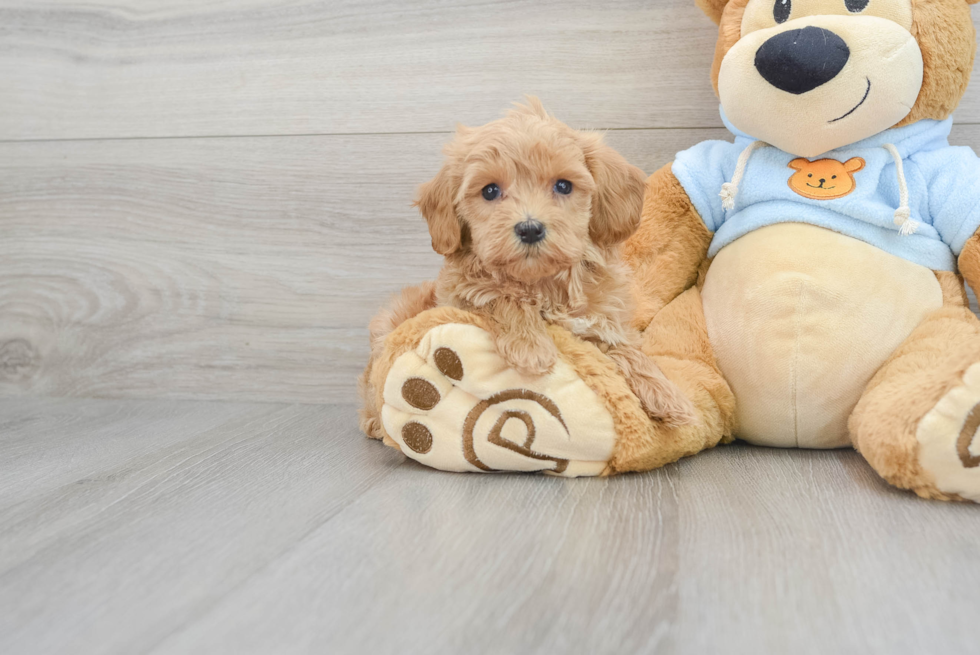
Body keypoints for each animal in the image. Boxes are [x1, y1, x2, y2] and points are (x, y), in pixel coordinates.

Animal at [362, 98, 696, 436]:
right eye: (490, 190)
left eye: (563, 186)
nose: (530, 228)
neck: (543, 283)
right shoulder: (460, 293)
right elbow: (502, 297)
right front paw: (531, 348)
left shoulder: (603, 321)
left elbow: (626, 348)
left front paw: (667, 395)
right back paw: (375, 421)